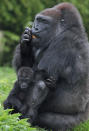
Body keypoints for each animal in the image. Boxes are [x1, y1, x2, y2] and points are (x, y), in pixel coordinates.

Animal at [6, 2, 89, 131]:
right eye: (37, 20)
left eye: (44, 22)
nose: (35, 28)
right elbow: (25, 70)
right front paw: (25, 44)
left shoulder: (66, 40)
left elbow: (41, 76)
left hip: (77, 123)